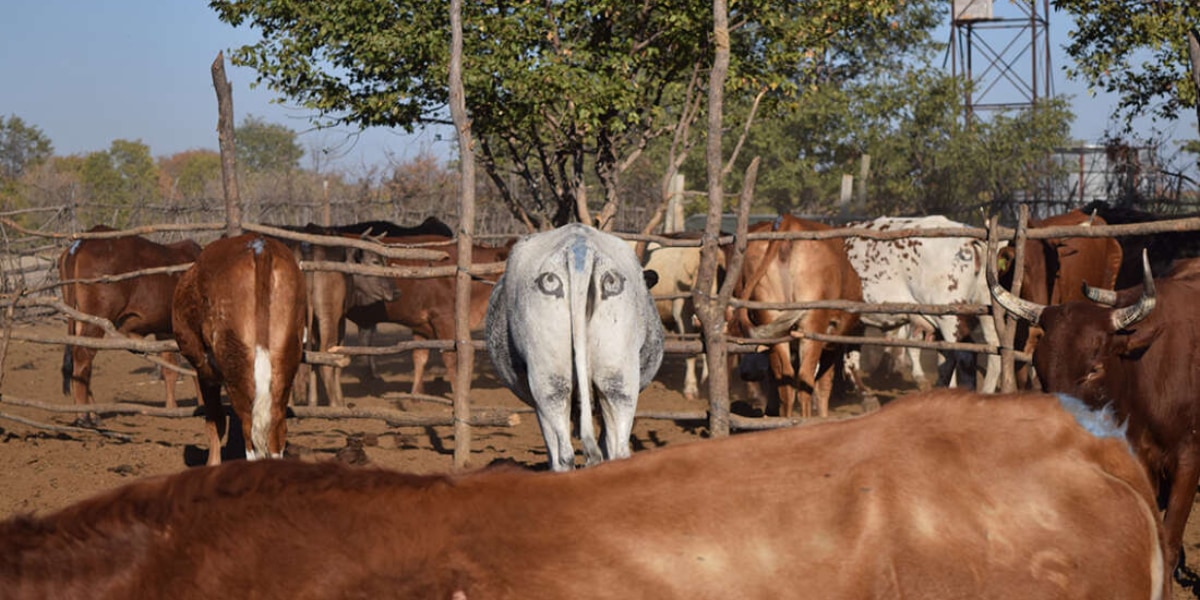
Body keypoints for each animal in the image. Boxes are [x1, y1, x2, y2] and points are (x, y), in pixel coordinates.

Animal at [58, 225, 201, 422]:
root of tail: (81, 243)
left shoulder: (164, 331)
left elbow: (170, 369)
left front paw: (172, 409)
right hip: (97, 318)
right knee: (82, 357)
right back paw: (84, 416)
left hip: (80, 319)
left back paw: (93, 411)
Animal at [171, 232, 307, 463]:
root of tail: (260, 247)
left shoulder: (205, 370)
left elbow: (215, 422)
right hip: (285, 359)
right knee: (276, 429)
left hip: (235, 362)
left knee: (249, 431)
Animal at [350, 236, 513, 396]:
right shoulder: (443, 318)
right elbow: (451, 358)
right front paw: (458, 393)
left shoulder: (420, 324)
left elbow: (419, 356)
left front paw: (416, 395)